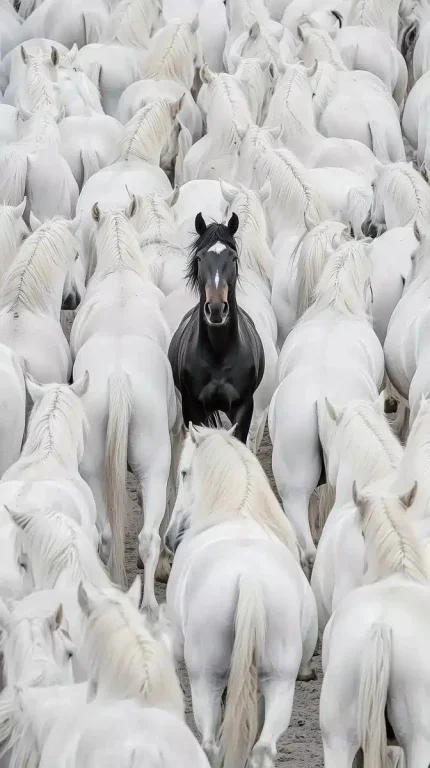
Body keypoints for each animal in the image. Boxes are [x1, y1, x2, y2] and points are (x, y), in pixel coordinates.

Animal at [165, 426, 317, 768]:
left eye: (183, 472)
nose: (170, 537)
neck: (237, 512)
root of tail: (249, 579)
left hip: (205, 679)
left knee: (210, 743)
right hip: (280, 681)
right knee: (263, 747)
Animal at [168, 213, 265, 444]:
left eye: (234, 258)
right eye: (199, 258)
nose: (216, 309)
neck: (219, 354)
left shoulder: (243, 407)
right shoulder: (193, 408)